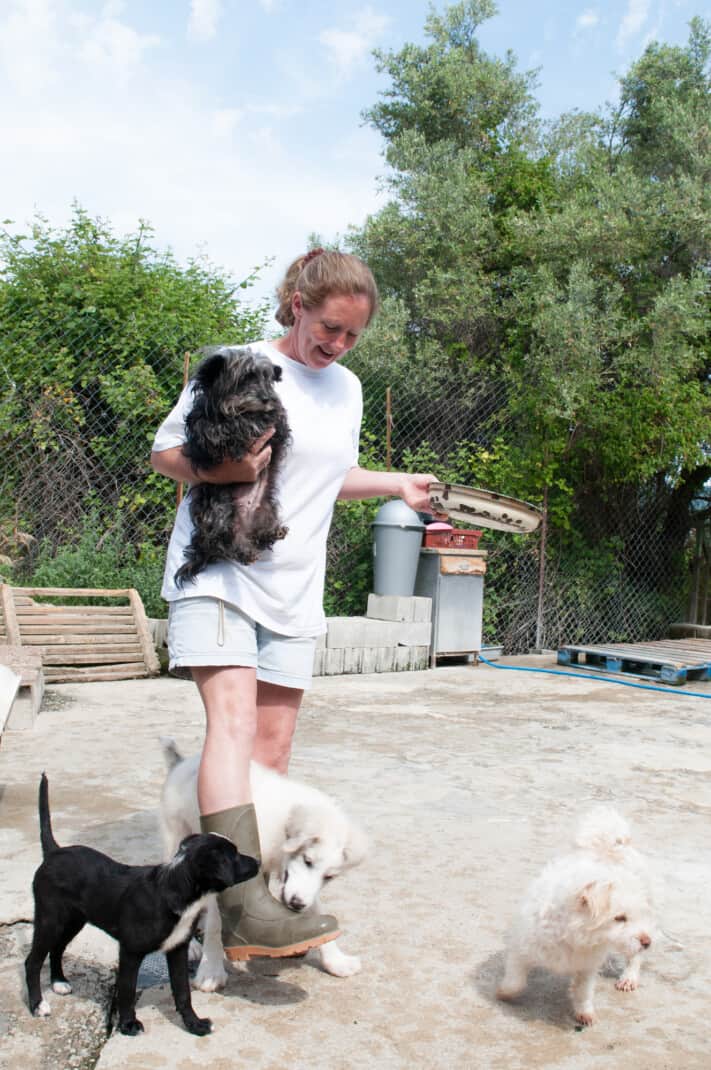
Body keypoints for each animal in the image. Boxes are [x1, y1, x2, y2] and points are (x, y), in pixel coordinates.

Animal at [25, 778, 258, 1035]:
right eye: (234, 856)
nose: (258, 862)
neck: (172, 888)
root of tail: (54, 851)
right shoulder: (130, 951)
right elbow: (127, 990)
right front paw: (128, 1024)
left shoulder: (177, 949)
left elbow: (183, 993)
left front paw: (194, 1024)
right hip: (49, 920)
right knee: (32, 961)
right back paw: (38, 1005)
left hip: (72, 920)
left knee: (57, 949)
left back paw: (59, 982)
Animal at [158, 740, 368, 988]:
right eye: (307, 860)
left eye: (329, 877)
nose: (297, 905)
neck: (281, 828)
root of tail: (181, 763)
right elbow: (215, 926)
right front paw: (210, 971)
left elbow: (316, 909)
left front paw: (336, 960)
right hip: (175, 838)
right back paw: (189, 946)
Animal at [175, 346, 291, 586]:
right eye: (246, 377)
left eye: (267, 378)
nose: (267, 398)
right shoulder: (203, 434)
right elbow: (219, 429)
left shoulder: (279, 430)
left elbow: (272, 418)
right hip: (219, 510)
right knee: (223, 540)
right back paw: (243, 551)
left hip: (267, 508)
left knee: (258, 536)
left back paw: (272, 533)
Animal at [494, 804, 655, 1022]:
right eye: (619, 917)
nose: (648, 942)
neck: (571, 935)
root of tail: (611, 845)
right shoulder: (521, 948)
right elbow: (515, 981)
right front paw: (504, 993)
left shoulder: (588, 966)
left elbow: (583, 991)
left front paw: (585, 1012)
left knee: (634, 958)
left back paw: (629, 977)